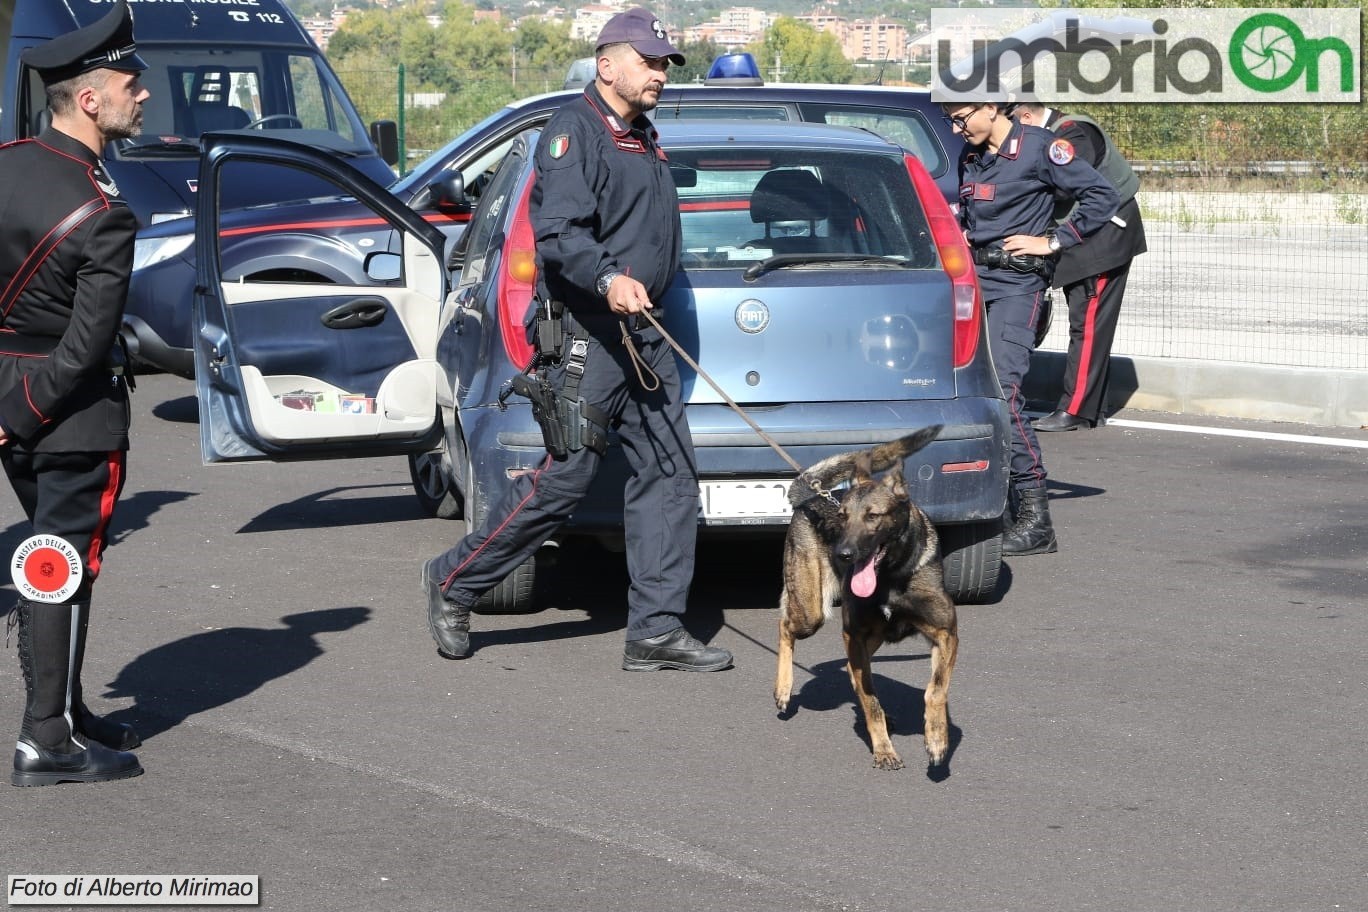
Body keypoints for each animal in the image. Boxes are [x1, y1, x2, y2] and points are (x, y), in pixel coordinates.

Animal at [777, 429, 957, 771]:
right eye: (842, 518)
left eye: (873, 516)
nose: (843, 554)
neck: (891, 575)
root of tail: (811, 497)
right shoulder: (854, 633)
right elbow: (871, 698)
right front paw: (884, 748)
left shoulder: (945, 633)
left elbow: (936, 690)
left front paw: (937, 739)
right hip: (811, 612)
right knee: (785, 626)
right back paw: (783, 688)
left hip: (873, 636)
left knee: (851, 669)